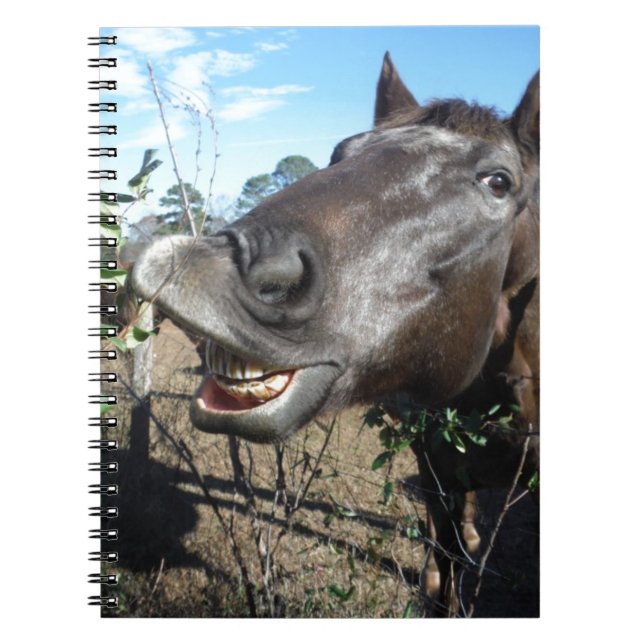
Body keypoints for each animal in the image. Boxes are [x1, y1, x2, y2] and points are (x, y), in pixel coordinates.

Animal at [131, 52, 540, 616]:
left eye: (498, 181)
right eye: (341, 152)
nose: (199, 265)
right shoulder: (439, 470)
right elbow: (449, 558)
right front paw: (440, 579)